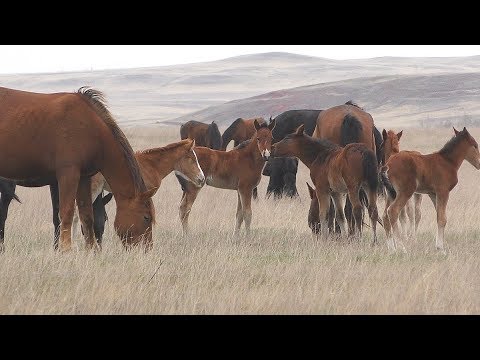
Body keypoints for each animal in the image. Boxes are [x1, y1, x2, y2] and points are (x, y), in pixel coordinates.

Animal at [0, 86, 156, 252]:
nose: (147, 250)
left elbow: (86, 215)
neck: (90, 127)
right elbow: (67, 212)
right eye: (146, 217)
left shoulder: (84, 177)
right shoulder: (68, 174)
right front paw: (65, 250)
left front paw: (90, 250)